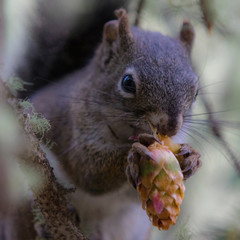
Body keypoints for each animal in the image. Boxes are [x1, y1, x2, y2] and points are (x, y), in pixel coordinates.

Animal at [31, 8, 201, 240]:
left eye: (196, 92)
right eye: (127, 82)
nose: (171, 127)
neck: (127, 132)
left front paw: (192, 158)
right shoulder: (74, 126)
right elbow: (88, 169)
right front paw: (134, 153)